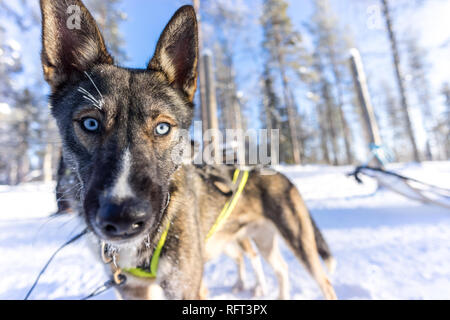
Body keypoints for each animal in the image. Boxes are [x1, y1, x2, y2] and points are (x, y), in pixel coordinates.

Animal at [40, 0, 336, 300]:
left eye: (162, 128)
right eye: (90, 123)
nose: (123, 218)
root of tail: (275, 173)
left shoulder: (186, 286)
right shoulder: (133, 289)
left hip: (298, 243)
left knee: (324, 281)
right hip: (260, 240)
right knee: (280, 269)